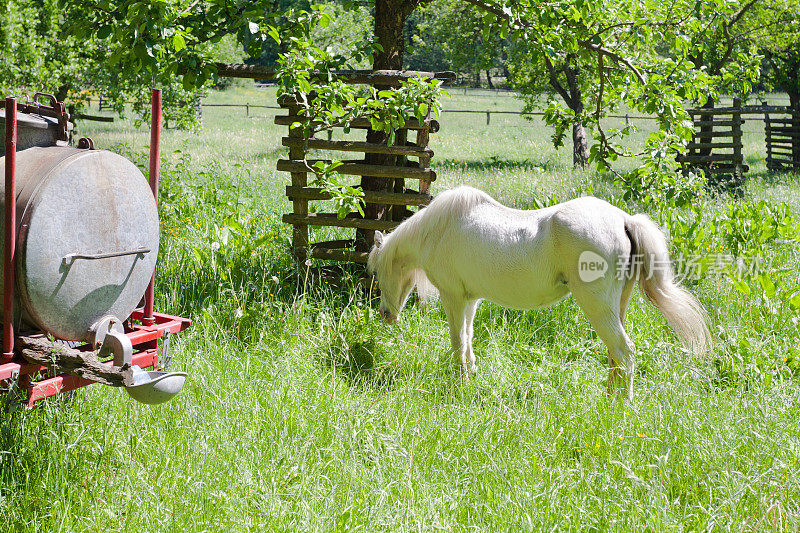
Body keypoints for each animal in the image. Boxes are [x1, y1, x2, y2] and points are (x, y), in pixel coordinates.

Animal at [366, 185, 708, 396]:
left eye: (378, 272)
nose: (384, 315)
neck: (439, 230)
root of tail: (624, 219)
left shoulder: (454, 298)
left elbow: (458, 341)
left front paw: (460, 382)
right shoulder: (469, 300)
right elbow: (469, 337)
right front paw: (471, 375)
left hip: (597, 306)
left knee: (624, 351)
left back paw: (619, 405)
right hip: (616, 306)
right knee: (616, 354)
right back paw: (610, 396)